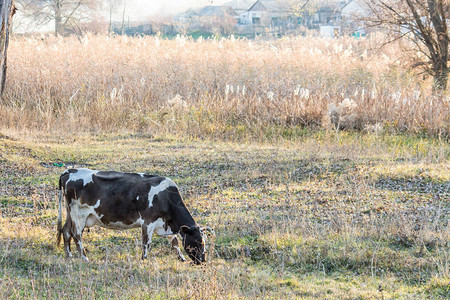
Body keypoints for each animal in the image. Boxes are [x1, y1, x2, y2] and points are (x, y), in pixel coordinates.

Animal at [55, 168, 209, 264]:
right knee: (76, 235)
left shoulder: (164, 224)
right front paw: (143, 260)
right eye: (198, 241)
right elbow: (146, 243)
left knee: (66, 231)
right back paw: (84, 258)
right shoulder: (148, 222)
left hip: (70, 213)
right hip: (79, 215)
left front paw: (182, 258)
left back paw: (69, 256)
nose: (202, 260)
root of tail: (69, 171)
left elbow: (175, 242)